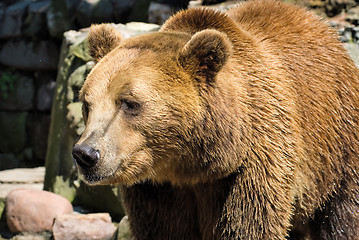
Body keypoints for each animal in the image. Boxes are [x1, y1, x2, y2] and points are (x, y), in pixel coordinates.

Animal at [72, 0, 359, 239]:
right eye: (87, 103)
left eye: (129, 103)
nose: (86, 154)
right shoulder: (157, 191)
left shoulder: (251, 169)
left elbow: (249, 226)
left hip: (336, 150)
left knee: (342, 215)